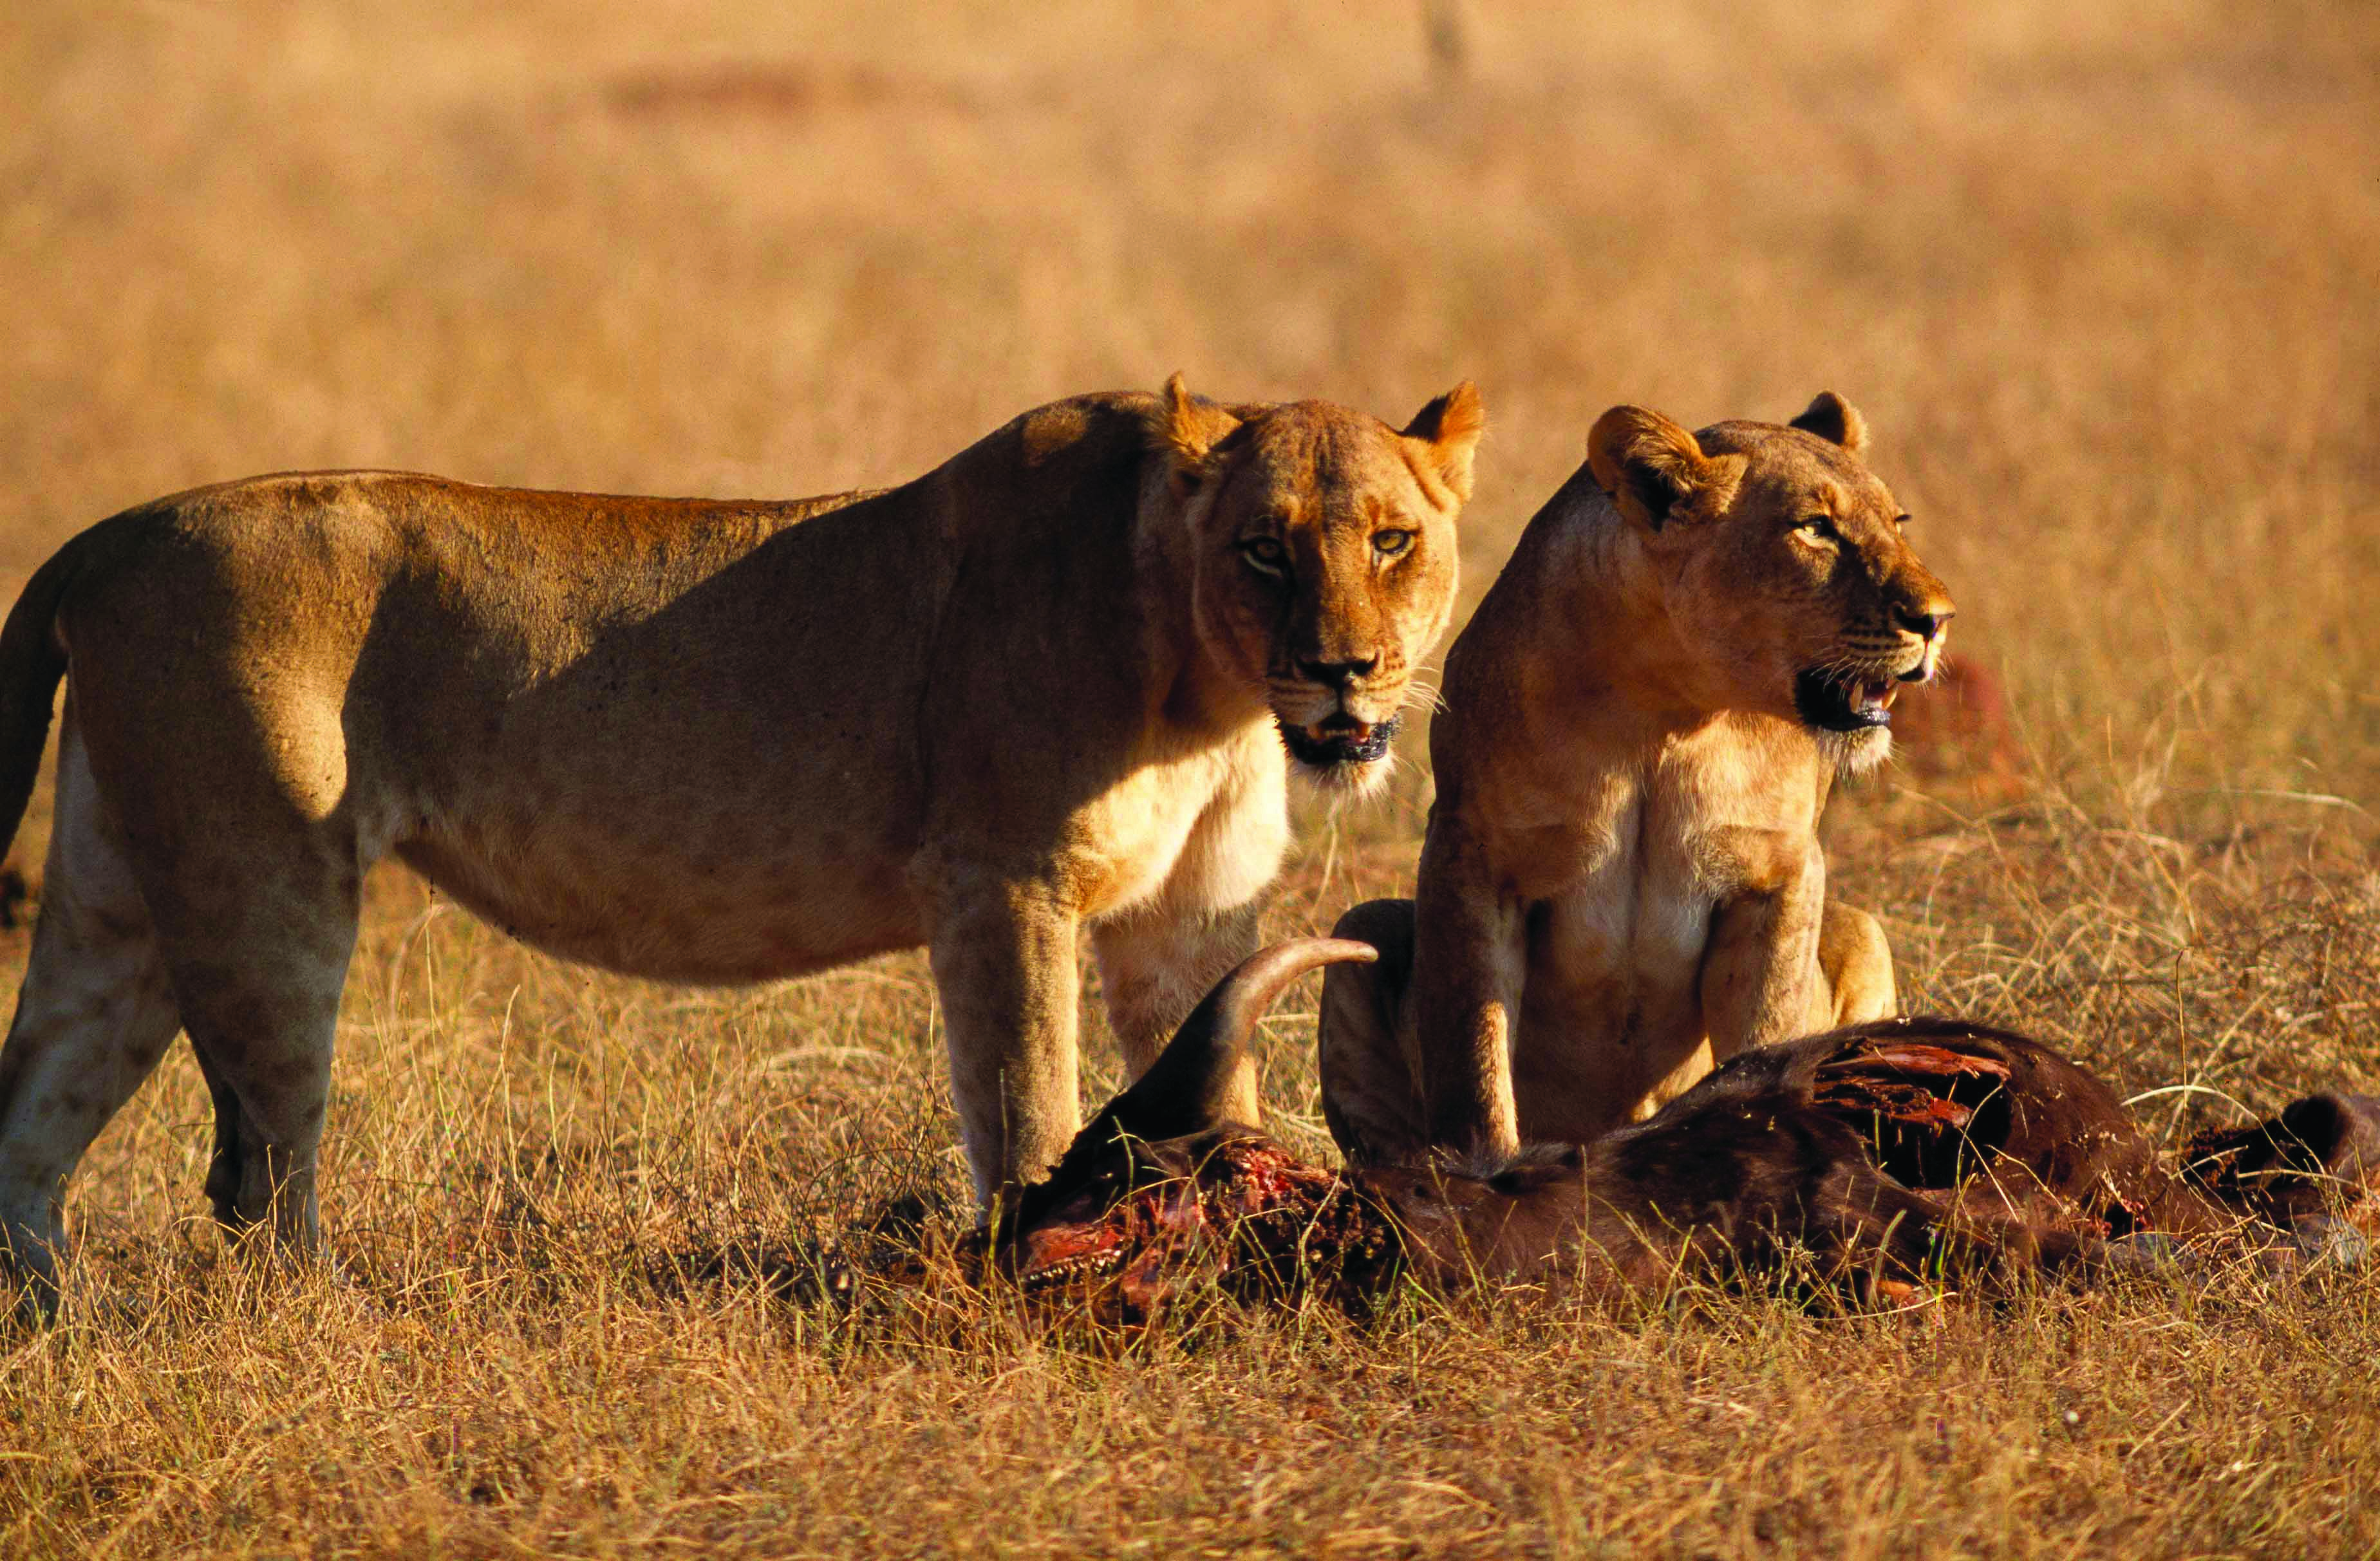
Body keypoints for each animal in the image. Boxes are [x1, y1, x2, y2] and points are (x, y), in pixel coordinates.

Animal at [0, 374, 1482, 1313]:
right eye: (1264, 550)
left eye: (1391, 540)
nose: (1346, 673)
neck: (1208, 691)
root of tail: (108, 535)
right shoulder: (1001, 882)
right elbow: (1028, 1103)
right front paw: (1032, 1280)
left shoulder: (1189, 914)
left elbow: (1216, 1081)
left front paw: (1253, 1246)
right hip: (267, 889)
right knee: (257, 1175)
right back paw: (337, 1331)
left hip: (120, 900)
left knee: (32, 1121)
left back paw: (55, 1333)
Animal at [1319, 392, 1951, 1165]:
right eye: (1816, 528)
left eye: (1898, 522)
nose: (1937, 619)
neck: (1670, 711)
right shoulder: (1472, 857)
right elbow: (1475, 1061)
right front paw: (1487, 1177)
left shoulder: (1779, 871)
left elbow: (1766, 1033)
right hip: (1359, 926)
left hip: (1862, 930)